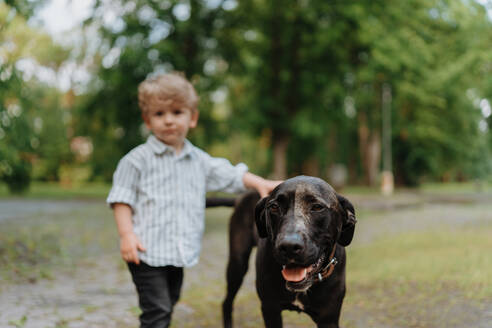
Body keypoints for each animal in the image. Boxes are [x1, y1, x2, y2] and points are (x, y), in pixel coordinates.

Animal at [223, 177, 358, 328]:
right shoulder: (270, 309)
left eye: (317, 207)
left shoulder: (328, 318)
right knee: (227, 302)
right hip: (237, 265)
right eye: (274, 207)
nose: (289, 246)